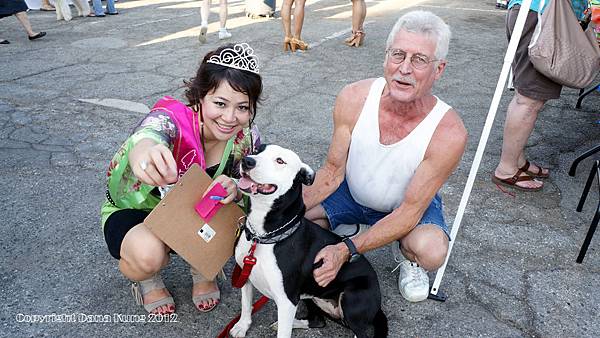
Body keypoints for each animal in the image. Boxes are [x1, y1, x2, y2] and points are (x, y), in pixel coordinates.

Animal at [230, 144, 390, 336]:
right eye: (256, 150)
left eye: (280, 161)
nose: (247, 161)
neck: (262, 236)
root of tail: (379, 305)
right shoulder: (244, 274)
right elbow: (246, 304)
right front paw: (242, 326)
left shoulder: (287, 301)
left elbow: (282, 333)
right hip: (310, 295)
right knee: (318, 320)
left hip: (351, 300)